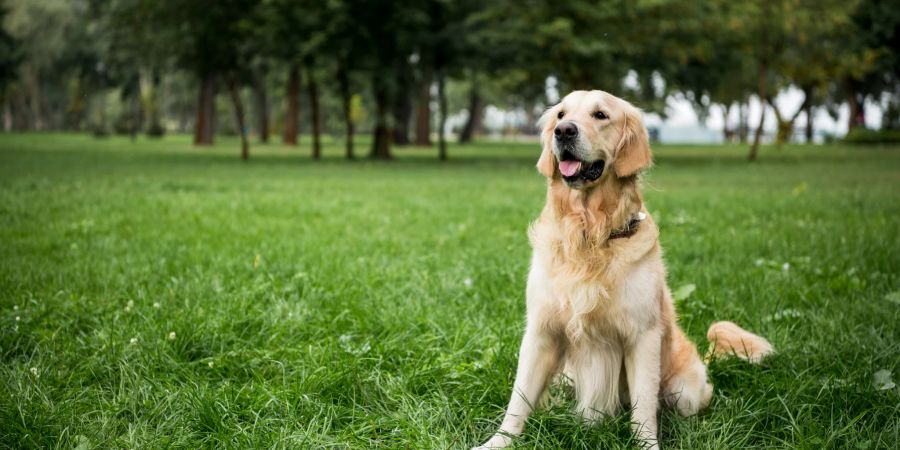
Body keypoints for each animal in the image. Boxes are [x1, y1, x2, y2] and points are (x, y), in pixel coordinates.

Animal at [472, 89, 772, 448]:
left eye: (600, 115)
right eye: (560, 115)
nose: (564, 132)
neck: (590, 234)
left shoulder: (642, 336)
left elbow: (644, 410)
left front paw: (648, 444)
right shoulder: (541, 331)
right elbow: (519, 398)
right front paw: (497, 442)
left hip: (685, 390)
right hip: (564, 376)